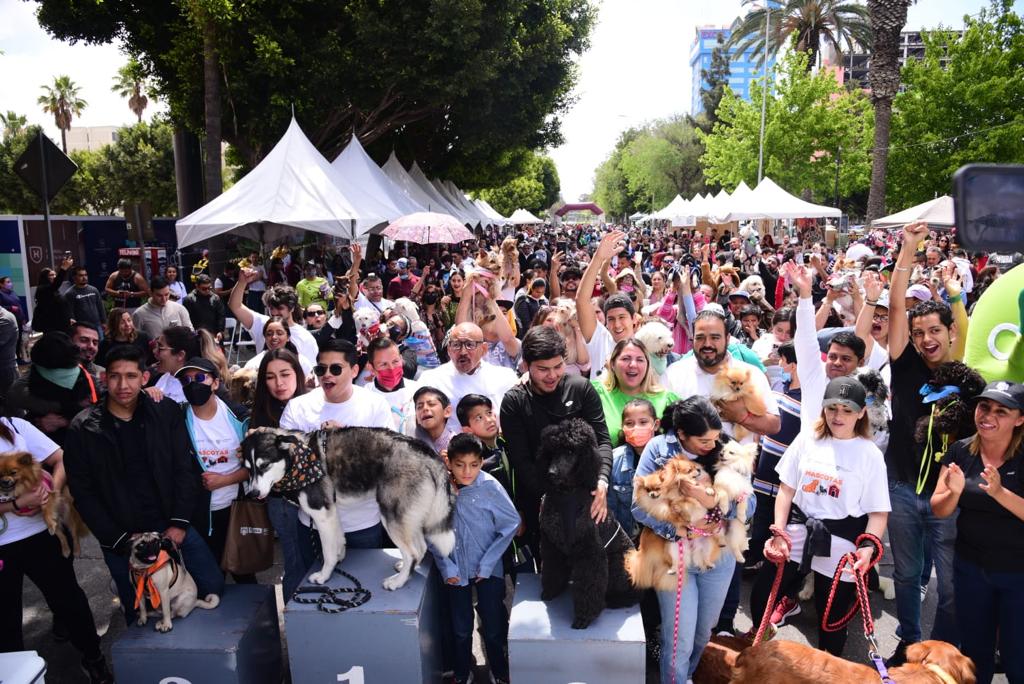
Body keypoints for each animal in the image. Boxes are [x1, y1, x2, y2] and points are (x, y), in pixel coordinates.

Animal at [241, 423, 454, 589]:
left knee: (413, 552)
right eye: (248, 469)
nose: (252, 494)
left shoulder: (321, 514)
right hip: (409, 516)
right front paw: (338, 558)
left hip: (391, 515)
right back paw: (404, 568)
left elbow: (327, 553)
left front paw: (324, 575)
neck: (298, 461)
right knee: (421, 547)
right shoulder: (331, 513)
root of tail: (428, 454)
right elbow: (338, 541)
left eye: (264, 465)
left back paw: (398, 581)